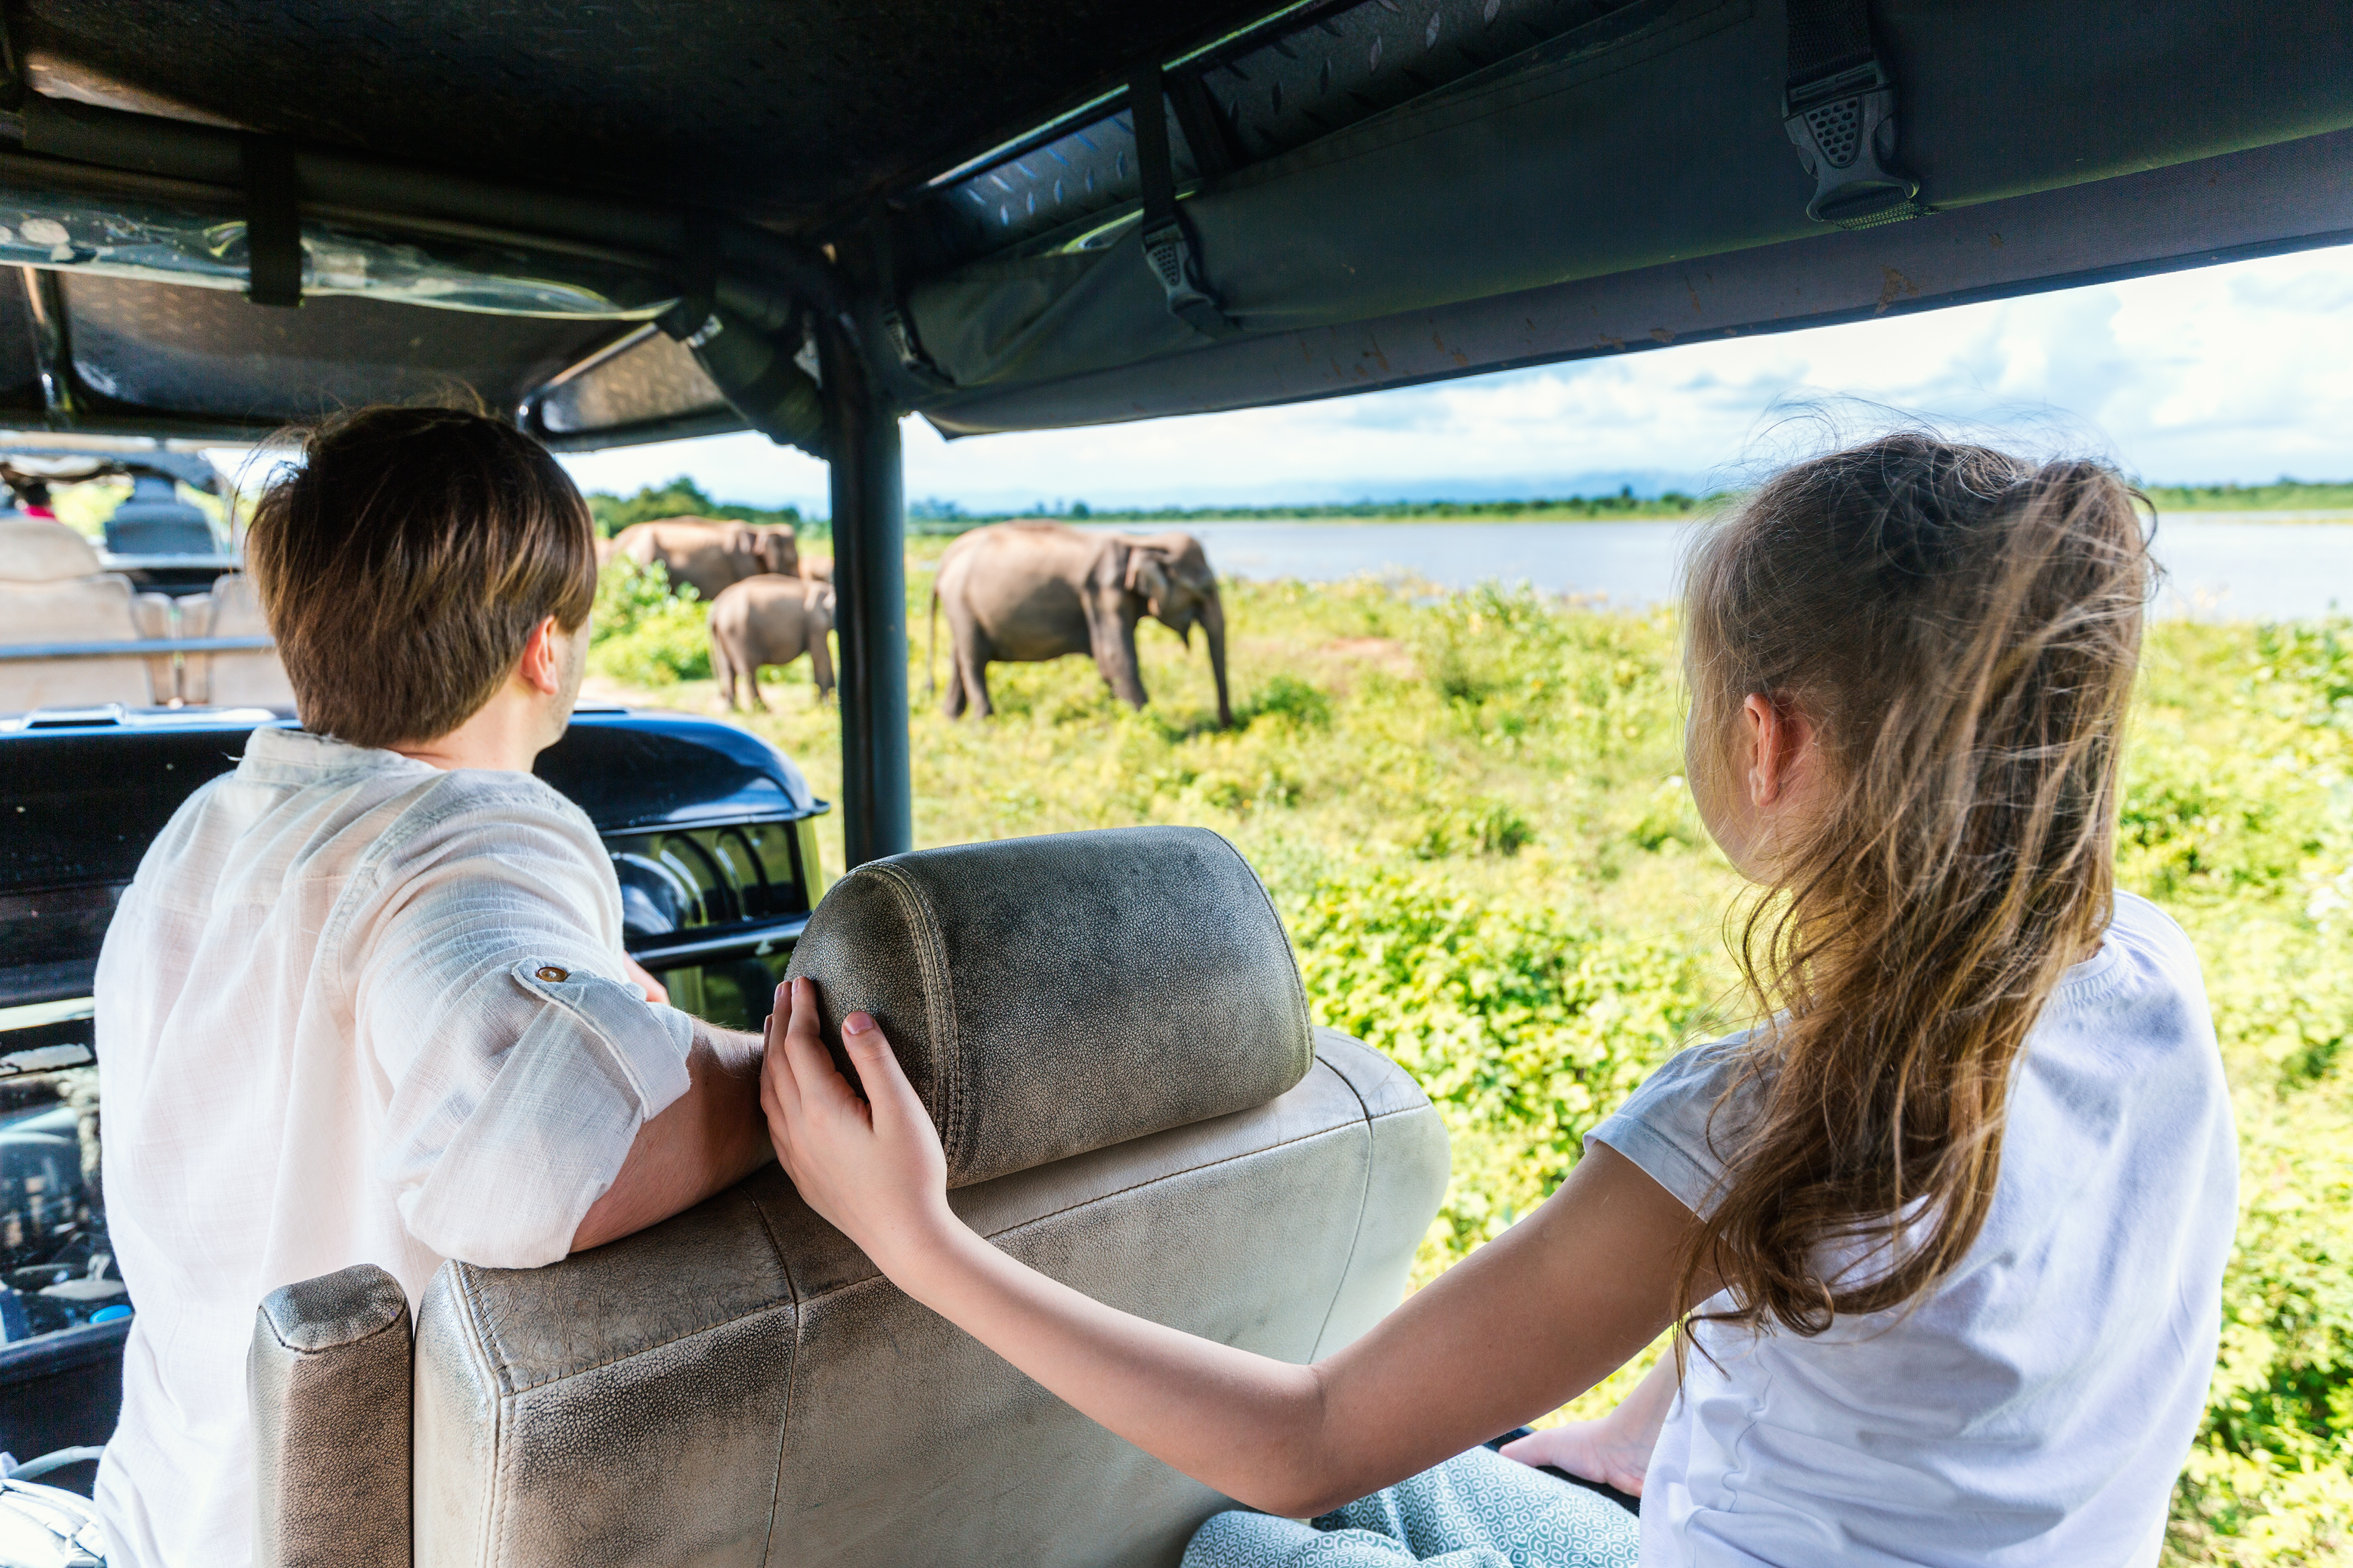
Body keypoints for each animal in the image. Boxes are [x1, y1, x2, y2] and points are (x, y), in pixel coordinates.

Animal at [710, 572, 835, 710]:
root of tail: (716, 608)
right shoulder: (816, 623)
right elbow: (821, 657)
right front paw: (828, 706)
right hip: (737, 632)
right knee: (747, 669)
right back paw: (763, 709)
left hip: (722, 635)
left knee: (727, 668)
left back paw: (732, 708)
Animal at [928, 522, 1231, 726]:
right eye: (1206, 589)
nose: (1226, 727)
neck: (1142, 542)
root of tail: (945, 560)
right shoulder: (1103, 594)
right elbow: (1114, 658)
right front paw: (1146, 728)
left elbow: (1110, 664)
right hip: (962, 604)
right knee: (974, 660)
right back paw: (985, 724)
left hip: (963, 611)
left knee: (959, 657)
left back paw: (952, 720)